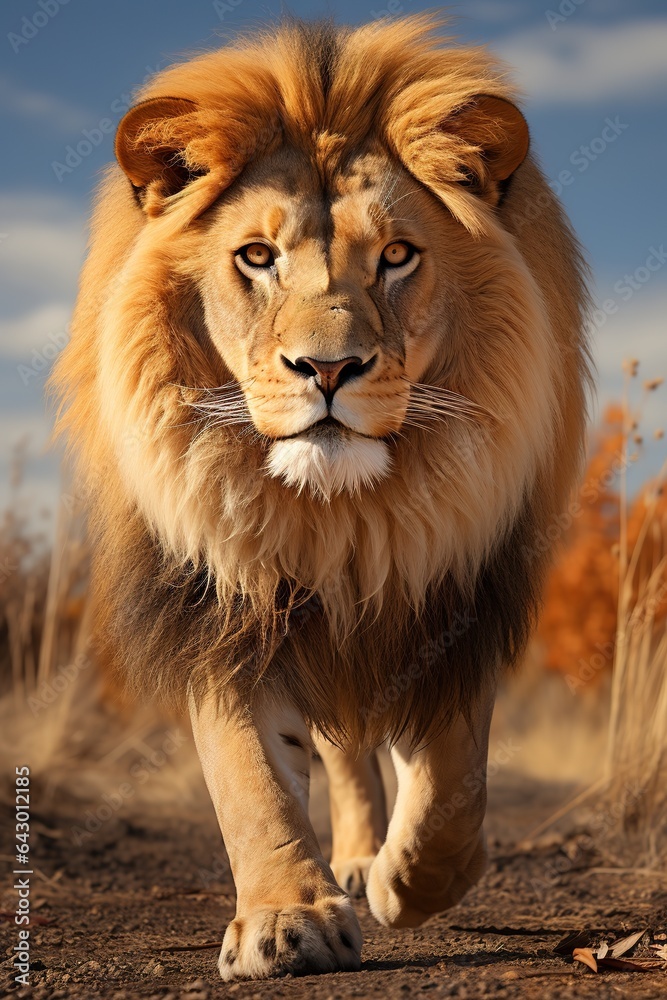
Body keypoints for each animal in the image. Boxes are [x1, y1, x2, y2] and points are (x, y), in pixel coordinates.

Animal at [52, 16, 591, 981]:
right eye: (256, 258)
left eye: (397, 256)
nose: (328, 368)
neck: (342, 519)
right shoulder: (224, 603)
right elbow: (252, 779)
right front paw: (287, 917)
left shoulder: (453, 591)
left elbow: (453, 771)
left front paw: (411, 881)